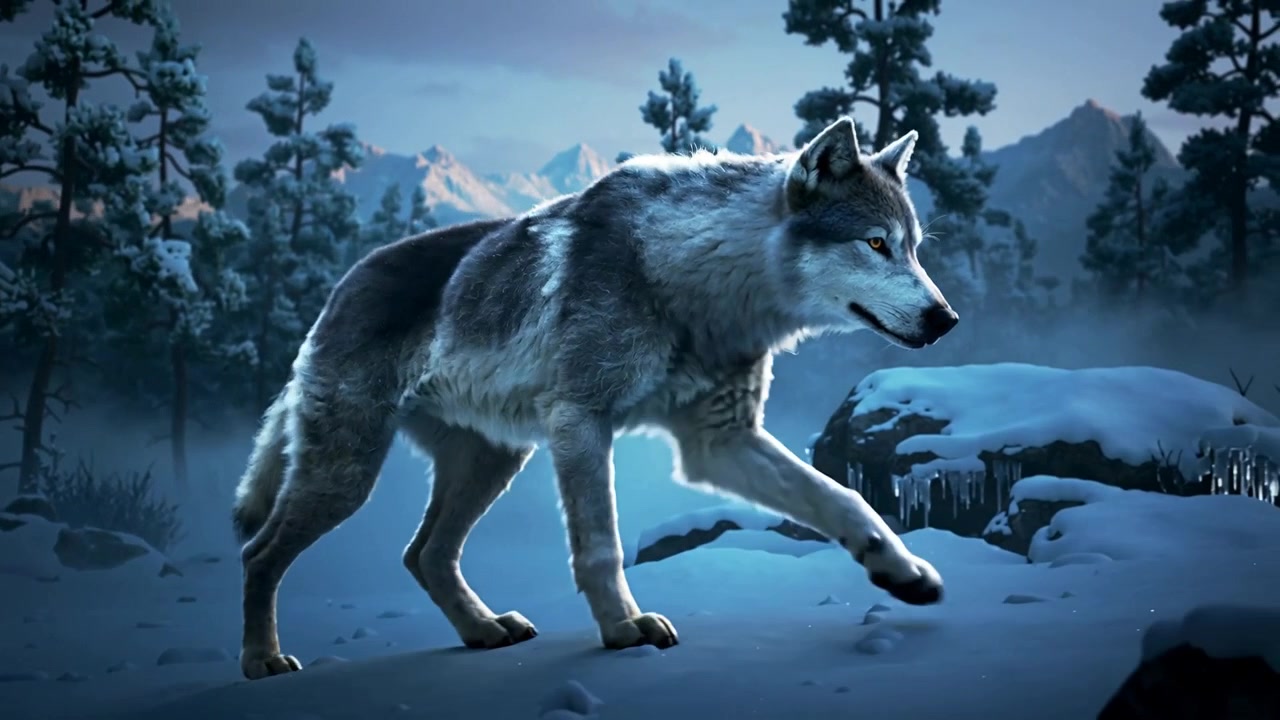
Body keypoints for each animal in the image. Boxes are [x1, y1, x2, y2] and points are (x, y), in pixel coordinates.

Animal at [230, 116, 959, 680]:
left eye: (915, 249)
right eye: (876, 243)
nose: (946, 318)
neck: (693, 282)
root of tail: (339, 286)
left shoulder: (718, 443)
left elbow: (844, 499)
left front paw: (903, 572)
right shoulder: (582, 422)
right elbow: (600, 545)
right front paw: (626, 629)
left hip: (493, 461)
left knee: (424, 554)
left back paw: (484, 630)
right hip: (349, 476)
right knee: (259, 553)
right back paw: (262, 661)